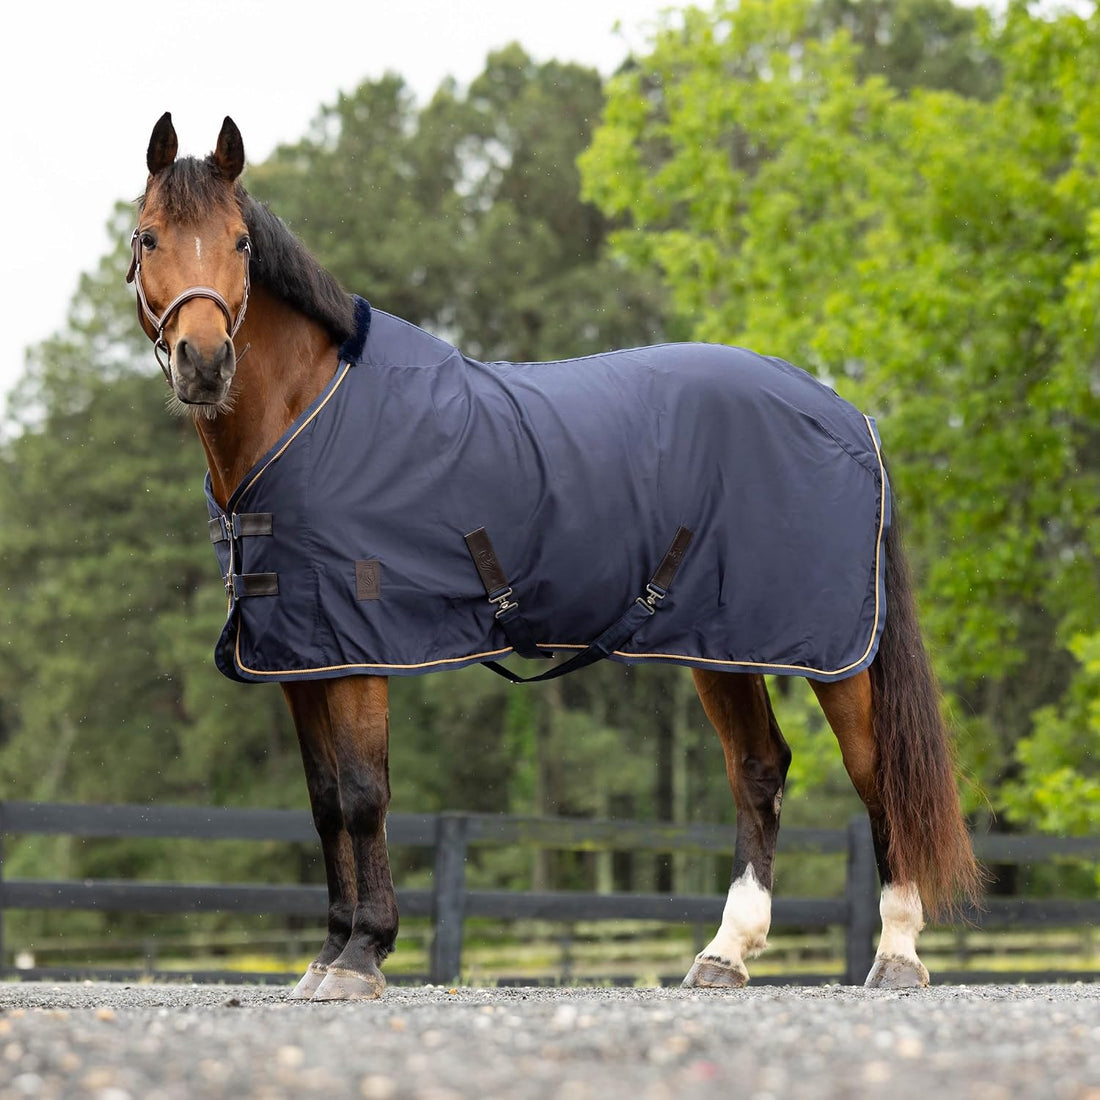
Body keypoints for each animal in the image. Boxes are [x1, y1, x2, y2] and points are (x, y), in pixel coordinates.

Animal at [127, 113, 980, 1001]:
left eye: (240, 242)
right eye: (149, 237)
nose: (204, 362)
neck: (310, 414)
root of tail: (849, 415)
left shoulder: (361, 652)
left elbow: (364, 796)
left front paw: (364, 954)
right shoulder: (301, 658)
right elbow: (326, 802)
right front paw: (327, 956)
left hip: (835, 654)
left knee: (876, 771)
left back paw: (897, 953)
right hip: (721, 645)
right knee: (758, 768)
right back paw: (724, 953)